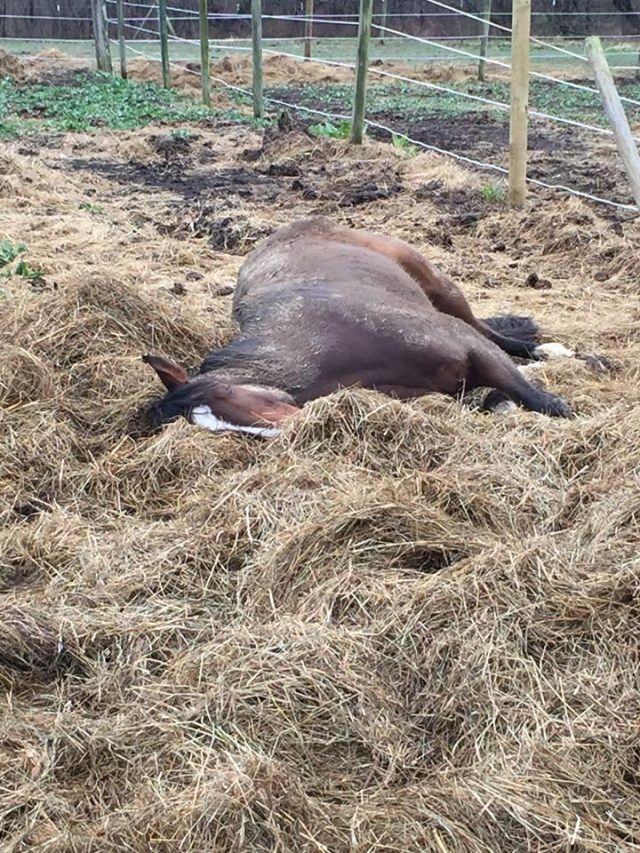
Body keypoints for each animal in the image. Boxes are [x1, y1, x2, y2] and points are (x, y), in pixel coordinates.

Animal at [143, 217, 574, 437]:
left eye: (229, 396)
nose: (288, 432)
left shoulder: (465, 343)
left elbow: (540, 400)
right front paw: (499, 403)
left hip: (436, 283)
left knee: (485, 328)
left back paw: (549, 352)